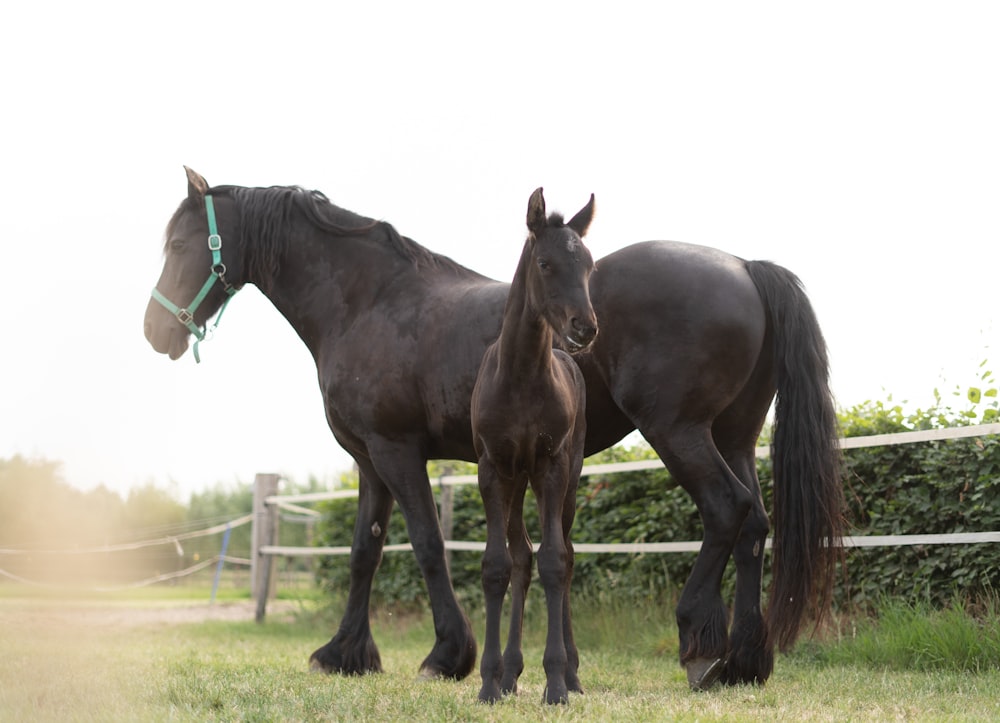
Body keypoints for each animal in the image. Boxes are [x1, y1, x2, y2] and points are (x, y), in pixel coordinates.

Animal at [143, 168, 844, 692]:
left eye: (177, 246)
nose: (156, 331)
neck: (370, 301)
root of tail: (744, 266)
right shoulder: (369, 459)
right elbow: (365, 549)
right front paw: (344, 653)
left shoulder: (398, 451)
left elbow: (427, 544)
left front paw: (448, 656)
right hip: (734, 437)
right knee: (755, 523)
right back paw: (744, 662)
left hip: (678, 432)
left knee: (726, 511)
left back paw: (701, 644)